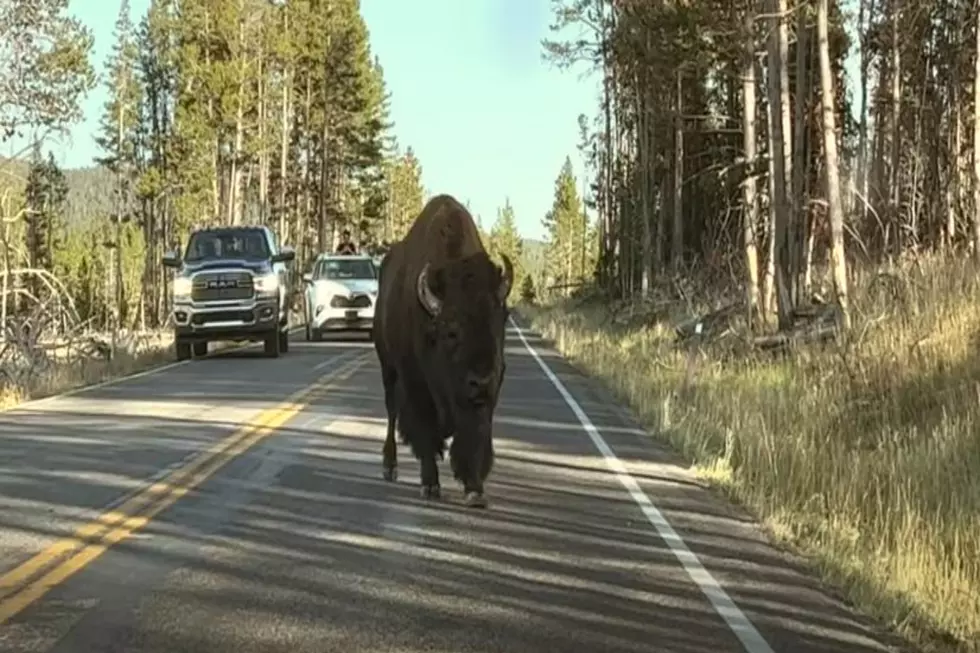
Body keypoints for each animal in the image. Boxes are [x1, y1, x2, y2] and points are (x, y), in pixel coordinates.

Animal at [374, 194, 512, 510]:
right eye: (451, 331)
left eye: (500, 322)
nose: (481, 381)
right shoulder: (416, 385)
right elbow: (426, 431)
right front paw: (430, 484)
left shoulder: (486, 395)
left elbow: (476, 434)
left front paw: (475, 490)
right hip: (387, 367)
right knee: (391, 411)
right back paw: (390, 466)